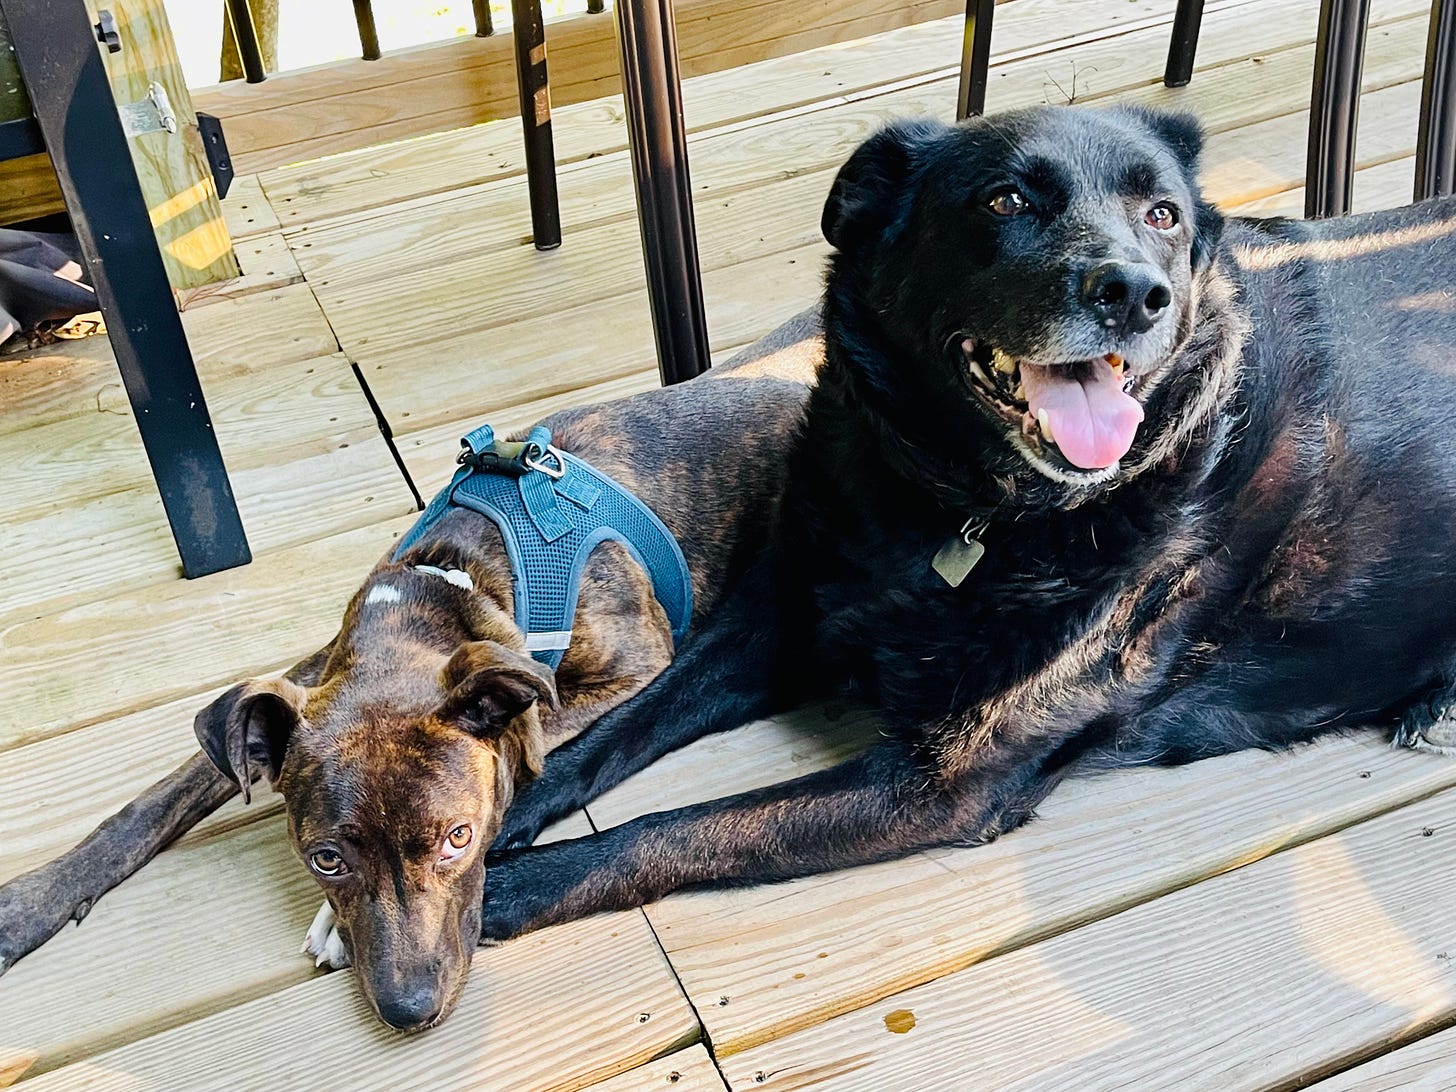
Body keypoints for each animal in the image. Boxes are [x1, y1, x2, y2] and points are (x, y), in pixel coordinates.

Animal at [0, 329, 821, 1030]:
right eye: (325, 860)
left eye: (459, 838)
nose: (409, 1010)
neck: (449, 580)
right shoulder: (305, 678)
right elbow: (158, 797)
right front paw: (28, 904)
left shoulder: (633, 662)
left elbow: (530, 738)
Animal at [477, 104, 1456, 943]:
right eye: (1005, 200)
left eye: (1164, 215)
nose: (1134, 293)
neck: (966, 512)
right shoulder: (773, 623)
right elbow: (606, 737)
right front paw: (497, 820)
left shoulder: (941, 784)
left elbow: (685, 828)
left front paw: (498, 888)